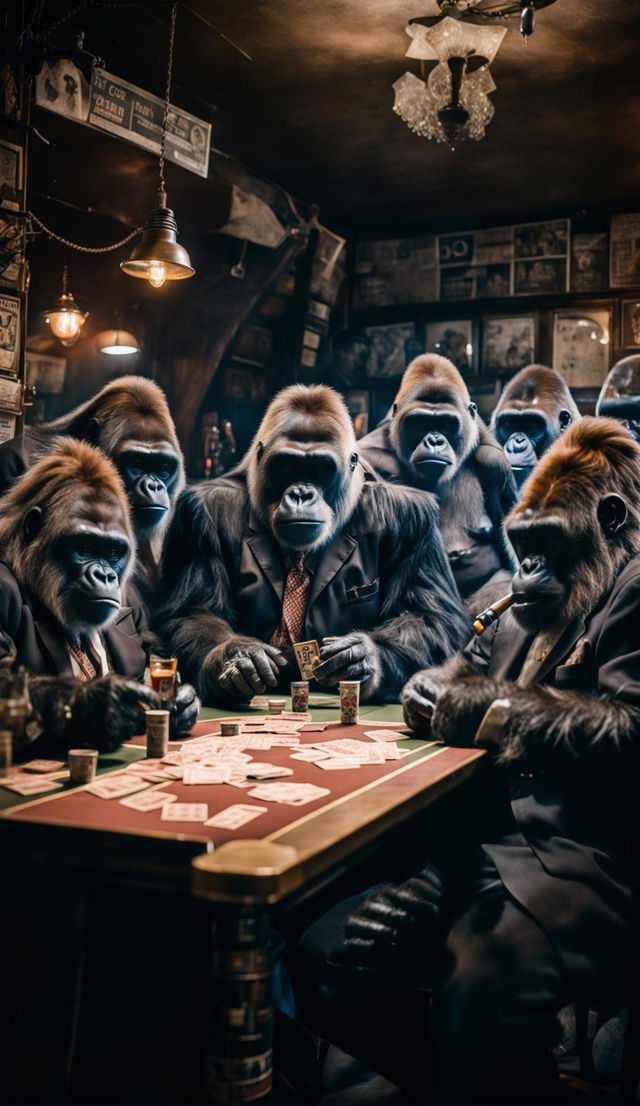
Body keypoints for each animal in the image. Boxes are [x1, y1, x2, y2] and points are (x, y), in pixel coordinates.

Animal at [0, 435, 197, 756]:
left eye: (114, 552)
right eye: (85, 547)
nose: (105, 575)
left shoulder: (133, 601)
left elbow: (153, 648)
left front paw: (183, 699)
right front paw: (97, 705)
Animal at [152, 384, 468, 703]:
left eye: (319, 468)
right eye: (289, 465)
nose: (301, 494)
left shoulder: (413, 523)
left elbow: (427, 616)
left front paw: (362, 657)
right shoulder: (198, 517)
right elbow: (195, 612)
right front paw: (237, 656)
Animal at [296, 415, 640, 1106]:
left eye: (547, 537)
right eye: (525, 539)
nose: (525, 564)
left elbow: (628, 722)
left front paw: (469, 700)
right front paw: (429, 693)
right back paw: (398, 915)